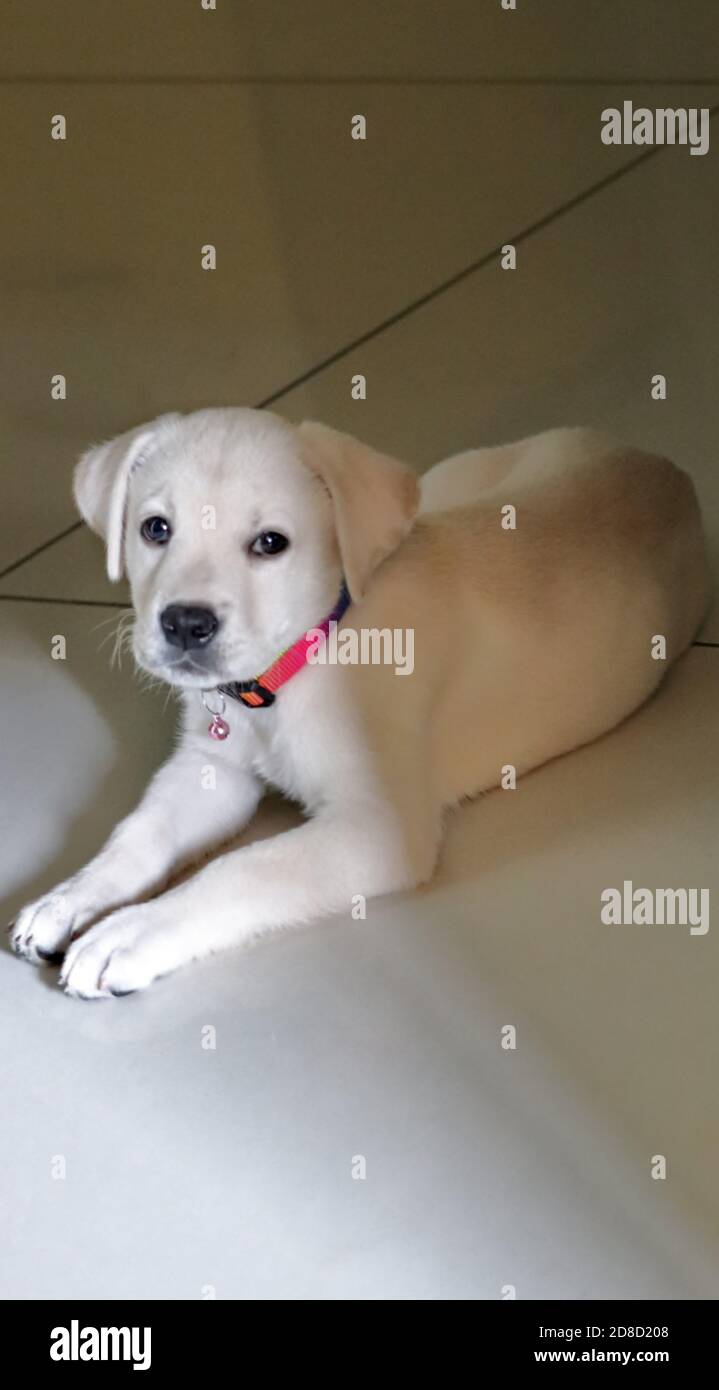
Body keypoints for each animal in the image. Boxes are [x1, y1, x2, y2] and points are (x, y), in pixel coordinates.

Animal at [8, 405, 709, 995]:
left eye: (271, 543)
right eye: (155, 529)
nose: (184, 624)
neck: (289, 671)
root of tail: (657, 460)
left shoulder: (378, 826)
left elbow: (241, 869)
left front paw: (128, 933)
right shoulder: (211, 770)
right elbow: (138, 836)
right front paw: (68, 898)